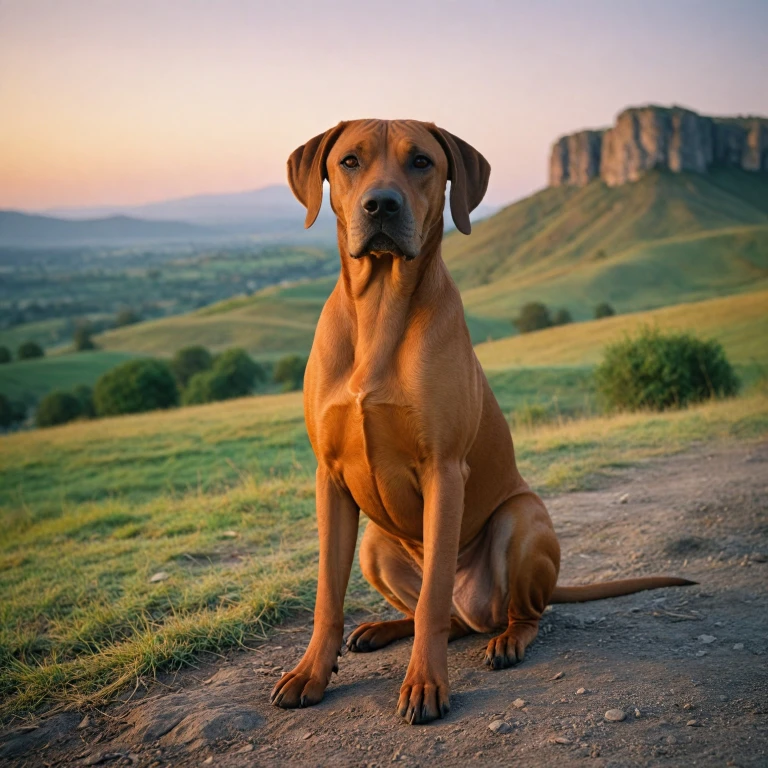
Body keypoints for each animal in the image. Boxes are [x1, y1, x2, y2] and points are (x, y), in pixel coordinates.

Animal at [272, 117, 696, 724]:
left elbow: (431, 599)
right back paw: (382, 628)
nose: (381, 205)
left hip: (522, 520)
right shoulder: (329, 478)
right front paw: (311, 672)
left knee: (507, 612)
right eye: (350, 161)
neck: (378, 311)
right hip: (377, 543)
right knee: (444, 617)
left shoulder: (444, 471)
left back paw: (507, 641)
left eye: (421, 161)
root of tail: (479, 612)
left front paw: (426, 683)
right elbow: (328, 596)